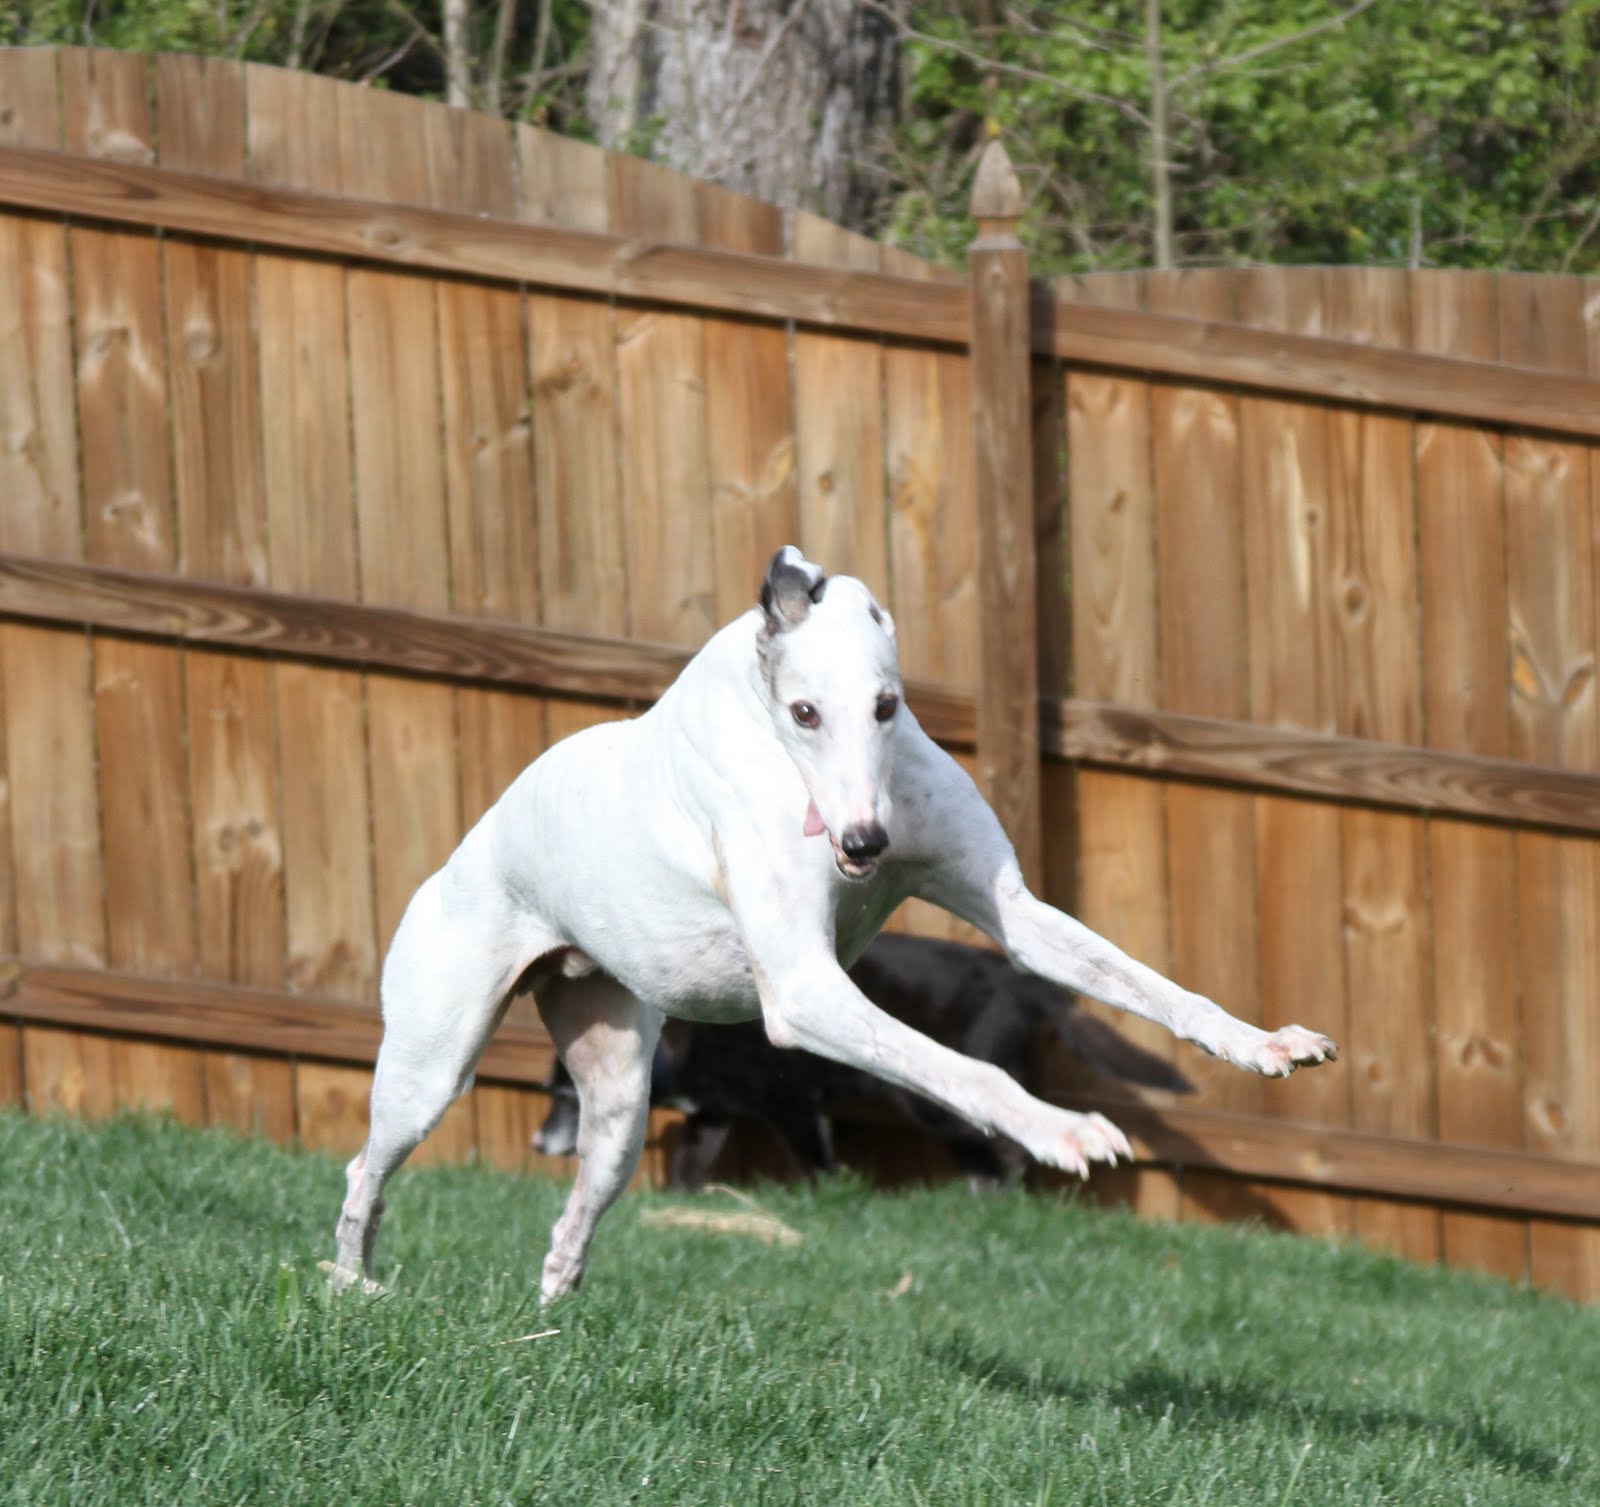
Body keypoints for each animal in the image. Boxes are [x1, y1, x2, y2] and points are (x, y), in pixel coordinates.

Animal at [531, 932, 1195, 1189]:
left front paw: (823, 1196)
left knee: (1006, 1148)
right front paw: (676, 1198)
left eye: (567, 1097)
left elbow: (815, 1161)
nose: (537, 1144)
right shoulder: (714, 1113)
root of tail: (1021, 981)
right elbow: (689, 1165)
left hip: (934, 1102)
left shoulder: (791, 1103)